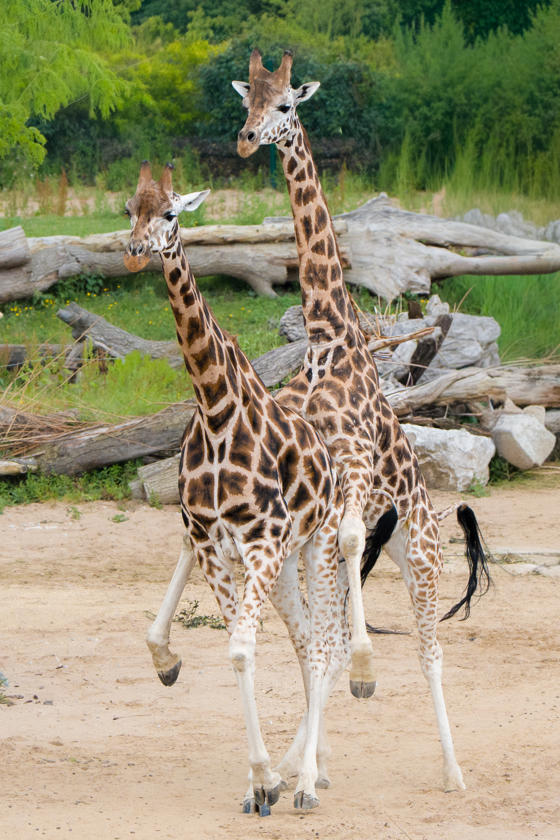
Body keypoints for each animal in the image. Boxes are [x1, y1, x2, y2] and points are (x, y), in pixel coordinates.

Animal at [123, 161, 345, 813]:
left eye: (171, 212)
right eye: (129, 210)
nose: (137, 251)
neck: (217, 409)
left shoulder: (260, 543)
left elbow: (243, 649)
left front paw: (271, 778)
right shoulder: (214, 548)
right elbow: (236, 650)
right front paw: (259, 784)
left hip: (318, 544)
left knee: (324, 644)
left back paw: (307, 784)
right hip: (289, 560)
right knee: (306, 639)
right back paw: (310, 771)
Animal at [233, 49, 491, 792]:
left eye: (287, 103)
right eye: (246, 99)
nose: (248, 139)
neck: (328, 338)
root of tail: (432, 511)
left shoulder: (352, 474)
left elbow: (343, 581)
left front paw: (366, 671)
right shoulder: (320, 492)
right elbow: (325, 612)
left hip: (424, 555)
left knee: (433, 651)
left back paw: (454, 772)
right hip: (387, 544)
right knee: (334, 619)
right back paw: (302, 765)